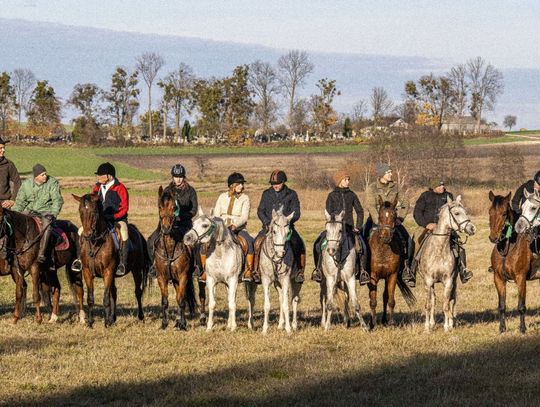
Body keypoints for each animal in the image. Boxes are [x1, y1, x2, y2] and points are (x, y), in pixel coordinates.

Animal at [73, 194, 150, 328]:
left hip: (136, 270)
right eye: (80, 211)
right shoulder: (87, 272)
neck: (95, 242)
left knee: (138, 292)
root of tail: (137, 232)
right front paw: (91, 323)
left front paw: (106, 323)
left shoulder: (108, 271)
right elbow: (91, 298)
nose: (87, 235)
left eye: (94, 211)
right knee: (114, 292)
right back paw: (112, 318)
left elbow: (106, 298)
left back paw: (140, 316)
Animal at [153, 186, 197, 330]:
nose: (166, 228)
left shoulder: (183, 276)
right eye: (160, 206)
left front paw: (183, 324)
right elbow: (165, 301)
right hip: (175, 280)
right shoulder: (162, 277)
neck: (170, 248)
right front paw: (164, 324)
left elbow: (181, 301)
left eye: (174, 207)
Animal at [368, 196, 418, 330]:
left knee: (385, 297)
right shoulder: (373, 276)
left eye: (394, 216)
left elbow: (390, 300)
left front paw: (391, 323)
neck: (384, 250)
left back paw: (385, 320)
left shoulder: (392, 275)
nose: (386, 237)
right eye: (380, 215)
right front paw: (373, 325)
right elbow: (373, 300)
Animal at [488, 191, 536, 334]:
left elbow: (521, 306)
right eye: (490, 212)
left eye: (504, 213)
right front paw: (502, 328)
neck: (508, 247)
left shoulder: (521, 278)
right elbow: (502, 306)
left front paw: (522, 329)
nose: (493, 238)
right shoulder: (498, 278)